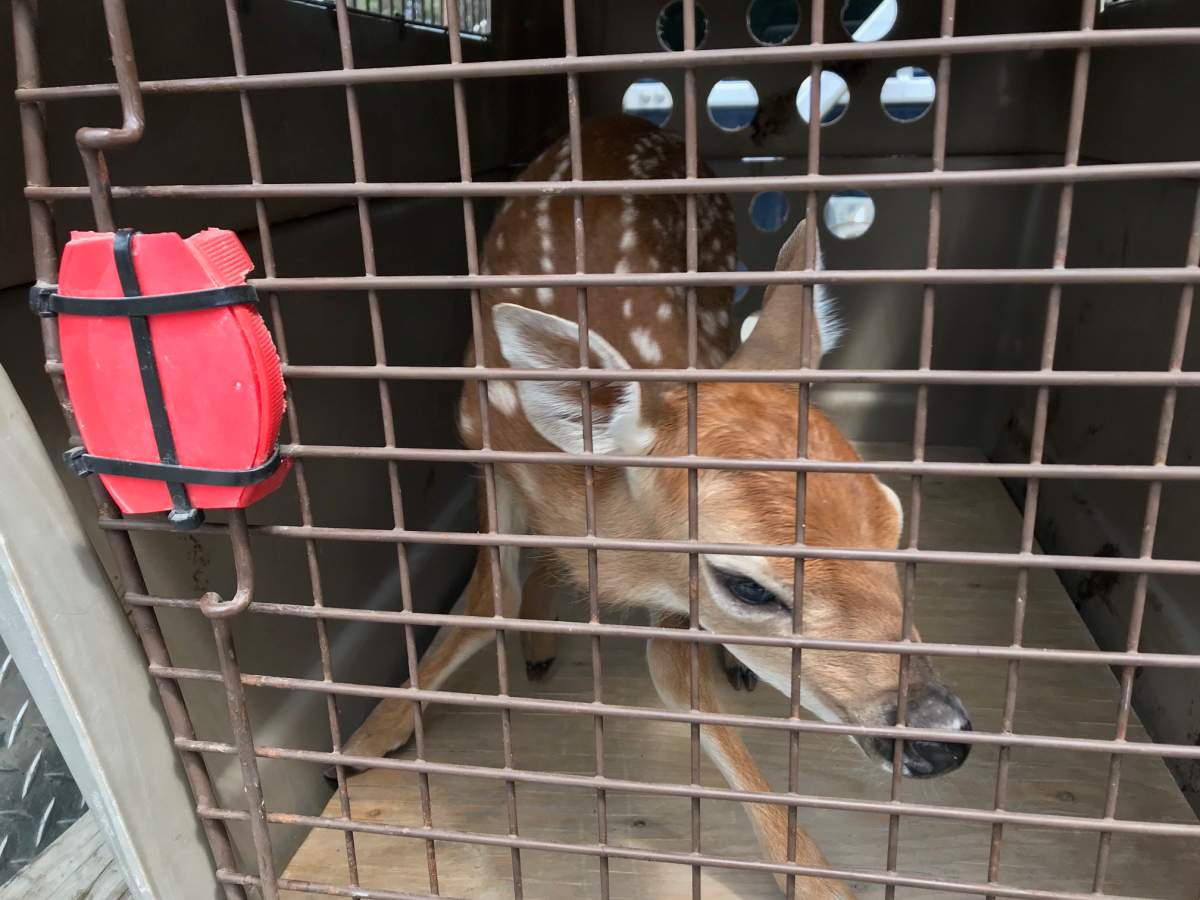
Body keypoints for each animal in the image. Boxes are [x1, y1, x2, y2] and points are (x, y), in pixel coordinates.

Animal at [339, 115, 972, 897]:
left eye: (892, 523)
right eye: (747, 586)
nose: (942, 733)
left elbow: (673, 670)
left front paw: (814, 877)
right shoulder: (480, 443)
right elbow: (490, 597)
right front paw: (368, 738)